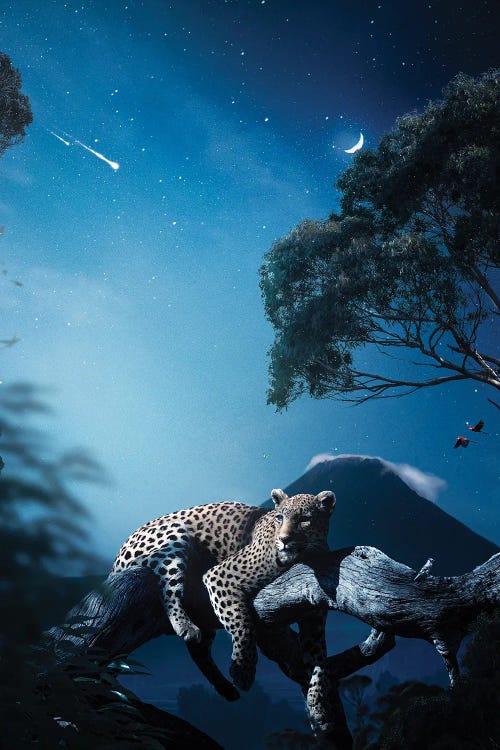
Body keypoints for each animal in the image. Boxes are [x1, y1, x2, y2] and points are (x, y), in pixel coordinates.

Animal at [111, 488, 335, 726]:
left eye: (305, 520)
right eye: (280, 518)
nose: (284, 540)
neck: (305, 556)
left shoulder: (314, 620)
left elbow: (320, 659)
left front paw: (318, 705)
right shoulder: (220, 576)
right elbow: (242, 623)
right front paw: (243, 671)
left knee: (199, 651)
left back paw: (225, 688)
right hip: (174, 539)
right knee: (169, 588)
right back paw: (185, 626)